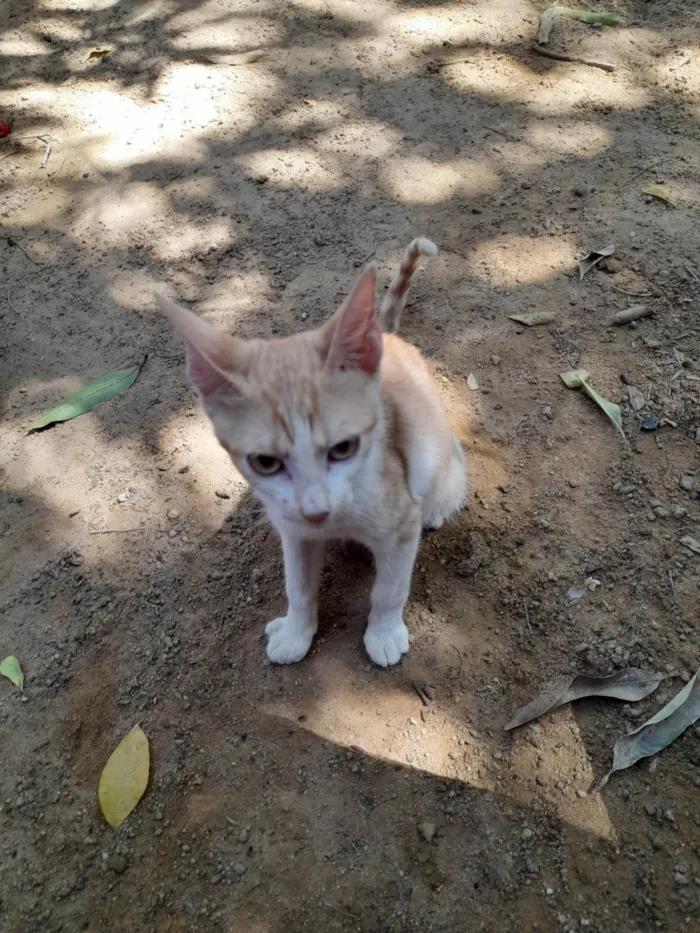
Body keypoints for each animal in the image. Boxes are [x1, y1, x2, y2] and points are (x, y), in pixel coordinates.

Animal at [161, 238, 468, 664]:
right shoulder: (292, 527)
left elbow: (390, 589)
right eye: (266, 462)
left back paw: (435, 511)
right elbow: (299, 586)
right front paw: (296, 631)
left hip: (441, 458)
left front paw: (384, 632)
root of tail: (387, 338)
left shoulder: (400, 519)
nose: (317, 512)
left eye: (344, 448)